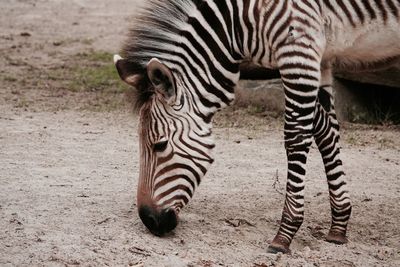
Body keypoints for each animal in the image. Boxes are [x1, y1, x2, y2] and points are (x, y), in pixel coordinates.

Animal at [114, 0, 398, 254]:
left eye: (160, 145)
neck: (238, 21)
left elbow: (296, 135)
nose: (149, 220)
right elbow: (327, 131)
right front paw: (339, 225)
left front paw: (285, 234)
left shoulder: (298, 50)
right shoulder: (319, 58)